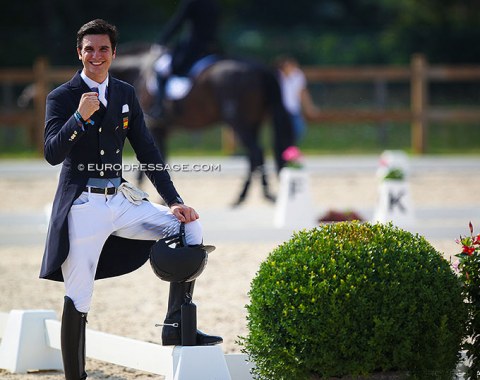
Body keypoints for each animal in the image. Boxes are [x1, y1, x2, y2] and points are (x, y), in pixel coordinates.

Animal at [110, 43, 294, 205]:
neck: (139, 70)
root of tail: (261, 69)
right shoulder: (157, 130)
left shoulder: (155, 128)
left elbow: (152, 161)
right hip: (253, 123)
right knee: (255, 155)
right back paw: (249, 196)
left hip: (239, 123)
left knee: (256, 152)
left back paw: (252, 195)